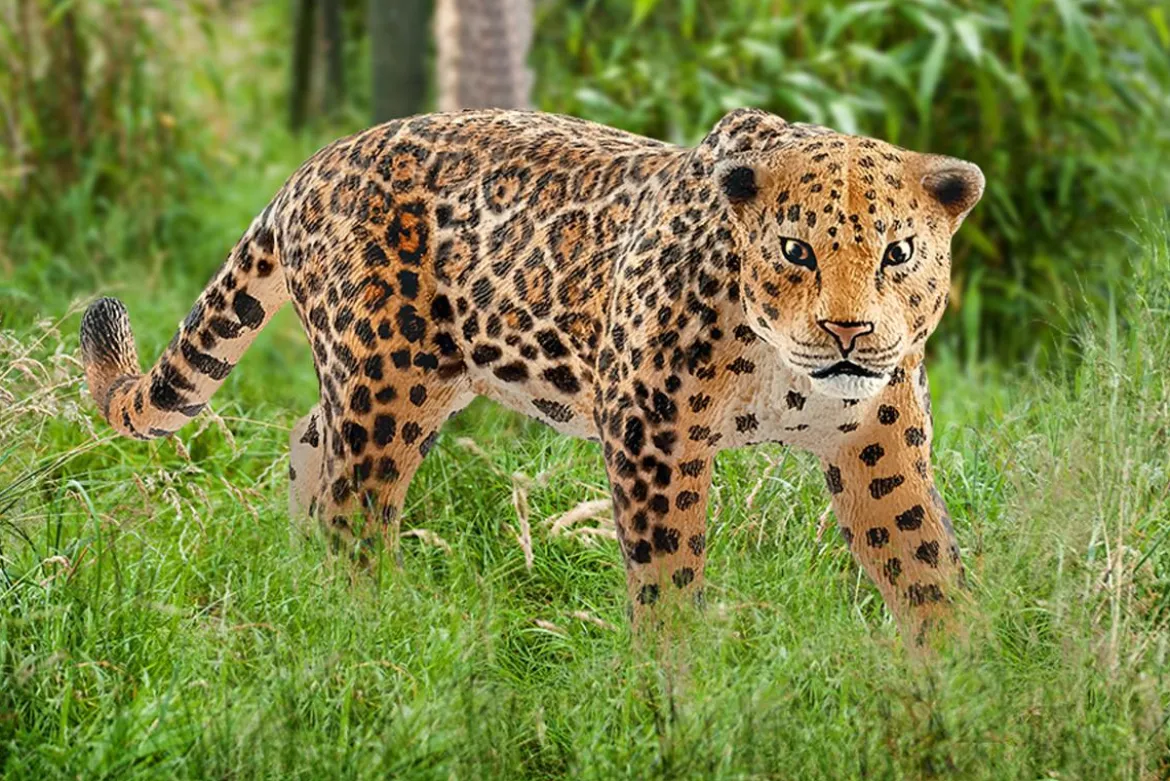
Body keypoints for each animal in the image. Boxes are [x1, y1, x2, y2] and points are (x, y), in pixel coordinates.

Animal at [79, 108, 984, 644]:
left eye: (899, 252)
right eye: (796, 250)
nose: (849, 331)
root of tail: (311, 168)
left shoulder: (879, 445)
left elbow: (923, 559)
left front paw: (962, 679)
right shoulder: (652, 434)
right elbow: (668, 573)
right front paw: (679, 686)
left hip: (396, 385)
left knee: (312, 447)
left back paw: (305, 589)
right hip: (389, 382)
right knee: (354, 508)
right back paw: (370, 631)